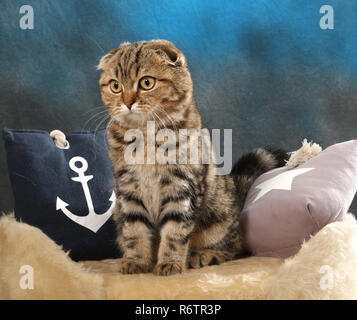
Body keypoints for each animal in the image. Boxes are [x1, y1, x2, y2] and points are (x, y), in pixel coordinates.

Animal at [97, 39, 286, 276]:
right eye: (115, 86)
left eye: (146, 82)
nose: (127, 102)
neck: (146, 135)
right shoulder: (129, 190)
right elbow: (134, 231)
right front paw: (137, 261)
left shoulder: (182, 188)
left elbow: (175, 233)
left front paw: (170, 263)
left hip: (220, 220)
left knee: (235, 248)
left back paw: (204, 255)